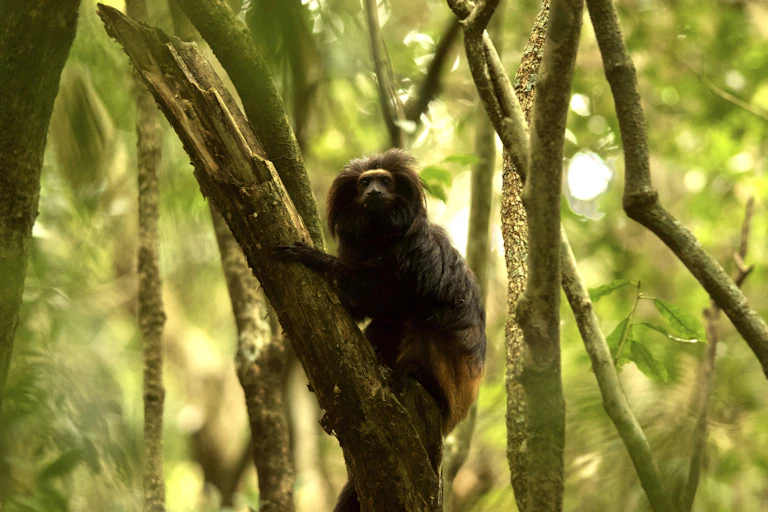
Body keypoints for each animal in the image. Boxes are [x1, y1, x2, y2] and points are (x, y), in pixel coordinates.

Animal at [274, 148, 486, 512]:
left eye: (385, 181)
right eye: (364, 183)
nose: (374, 192)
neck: (380, 236)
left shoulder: (413, 250)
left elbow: (384, 295)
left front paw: (315, 258)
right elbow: (370, 309)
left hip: (451, 379)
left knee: (421, 321)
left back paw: (413, 374)